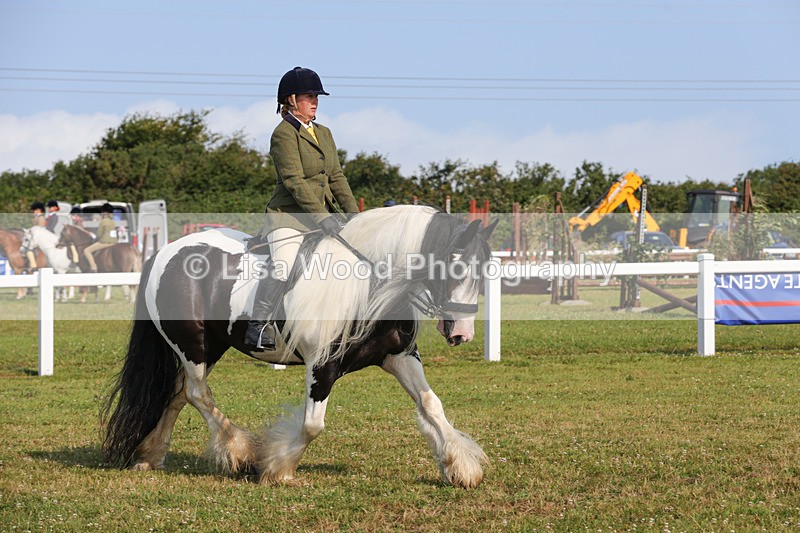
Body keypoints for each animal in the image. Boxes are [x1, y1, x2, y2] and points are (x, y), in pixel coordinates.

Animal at [102, 205, 497, 488]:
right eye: (454, 267)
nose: (461, 333)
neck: (368, 285)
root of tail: (164, 252)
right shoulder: (321, 366)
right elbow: (312, 426)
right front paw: (278, 468)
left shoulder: (399, 356)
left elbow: (432, 405)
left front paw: (460, 467)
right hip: (192, 344)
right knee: (198, 393)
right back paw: (239, 452)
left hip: (209, 347)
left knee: (178, 394)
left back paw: (148, 456)